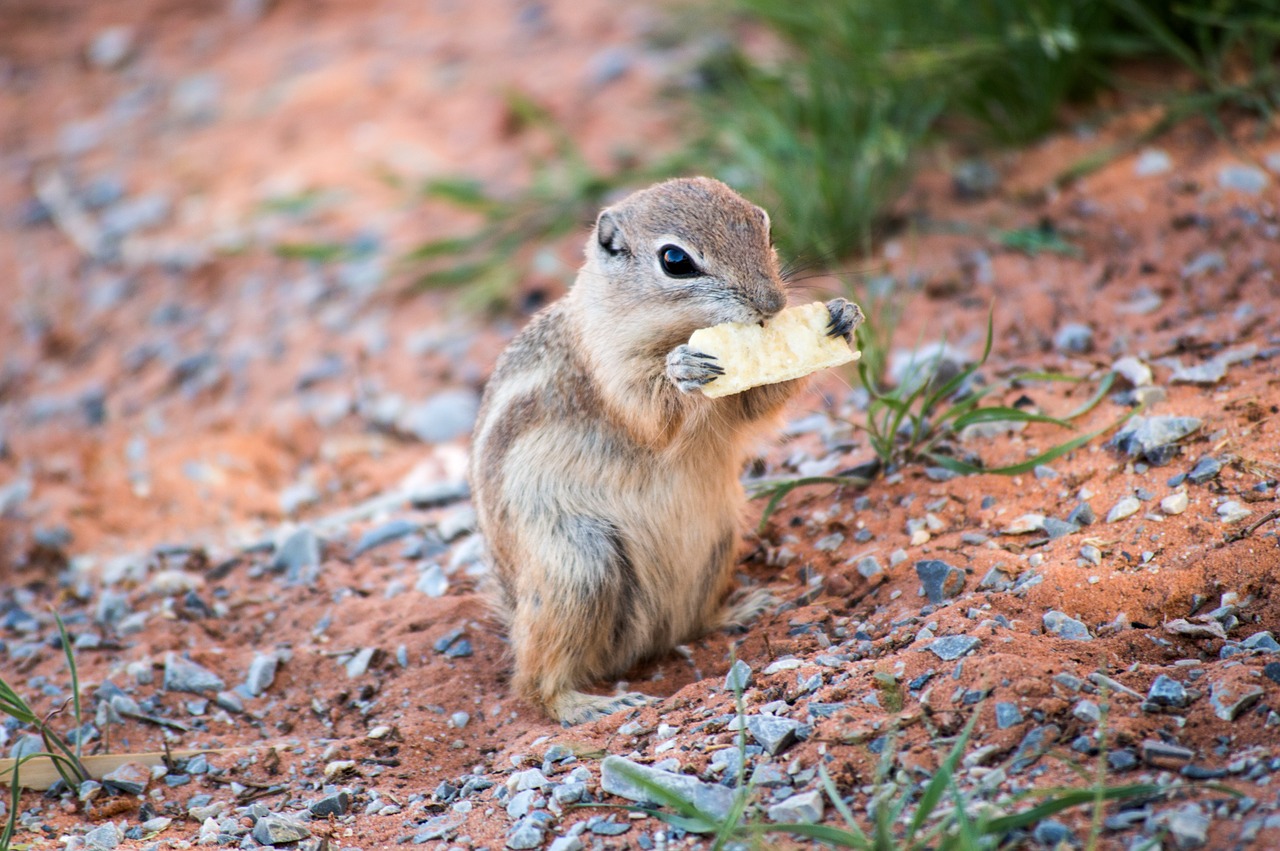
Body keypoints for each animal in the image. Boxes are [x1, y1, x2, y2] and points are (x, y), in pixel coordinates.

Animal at [465, 175, 855, 721]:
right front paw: (682, 368)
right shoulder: (611, 372)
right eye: (675, 260)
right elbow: (653, 417)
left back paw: (740, 609)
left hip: (718, 540)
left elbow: (756, 403)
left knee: (686, 625)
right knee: (533, 680)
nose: (774, 304)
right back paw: (584, 704)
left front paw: (842, 314)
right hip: (578, 569)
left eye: (765, 227)